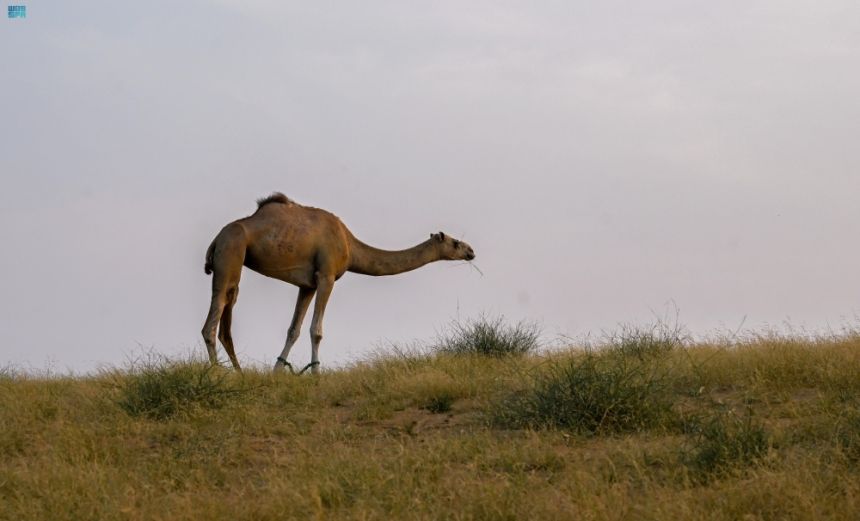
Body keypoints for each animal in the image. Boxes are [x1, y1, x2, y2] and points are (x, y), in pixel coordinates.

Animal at [203, 193, 478, 372]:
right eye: (455, 242)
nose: (471, 251)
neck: (349, 244)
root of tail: (215, 238)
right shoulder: (326, 275)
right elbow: (316, 330)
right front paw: (315, 373)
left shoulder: (307, 285)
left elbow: (294, 329)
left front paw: (277, 372)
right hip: (231, 252)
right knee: (214, 318)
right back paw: (217, 373)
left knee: (227, 317)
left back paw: (238, 373)